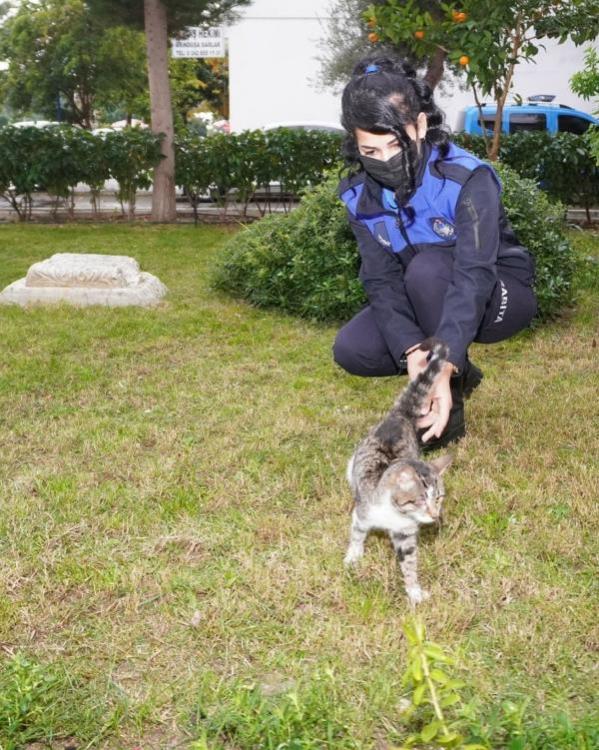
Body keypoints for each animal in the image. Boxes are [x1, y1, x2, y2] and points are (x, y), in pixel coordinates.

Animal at [344, 340, 452, 604]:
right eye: (419, 499)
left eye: (439, 498)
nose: (434, 515)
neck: (394, 515)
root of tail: (399, 415)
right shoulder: (363, 514)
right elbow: (357, 533)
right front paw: (353, 556)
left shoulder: (406, 534)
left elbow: (409, 562)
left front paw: (414, 591)